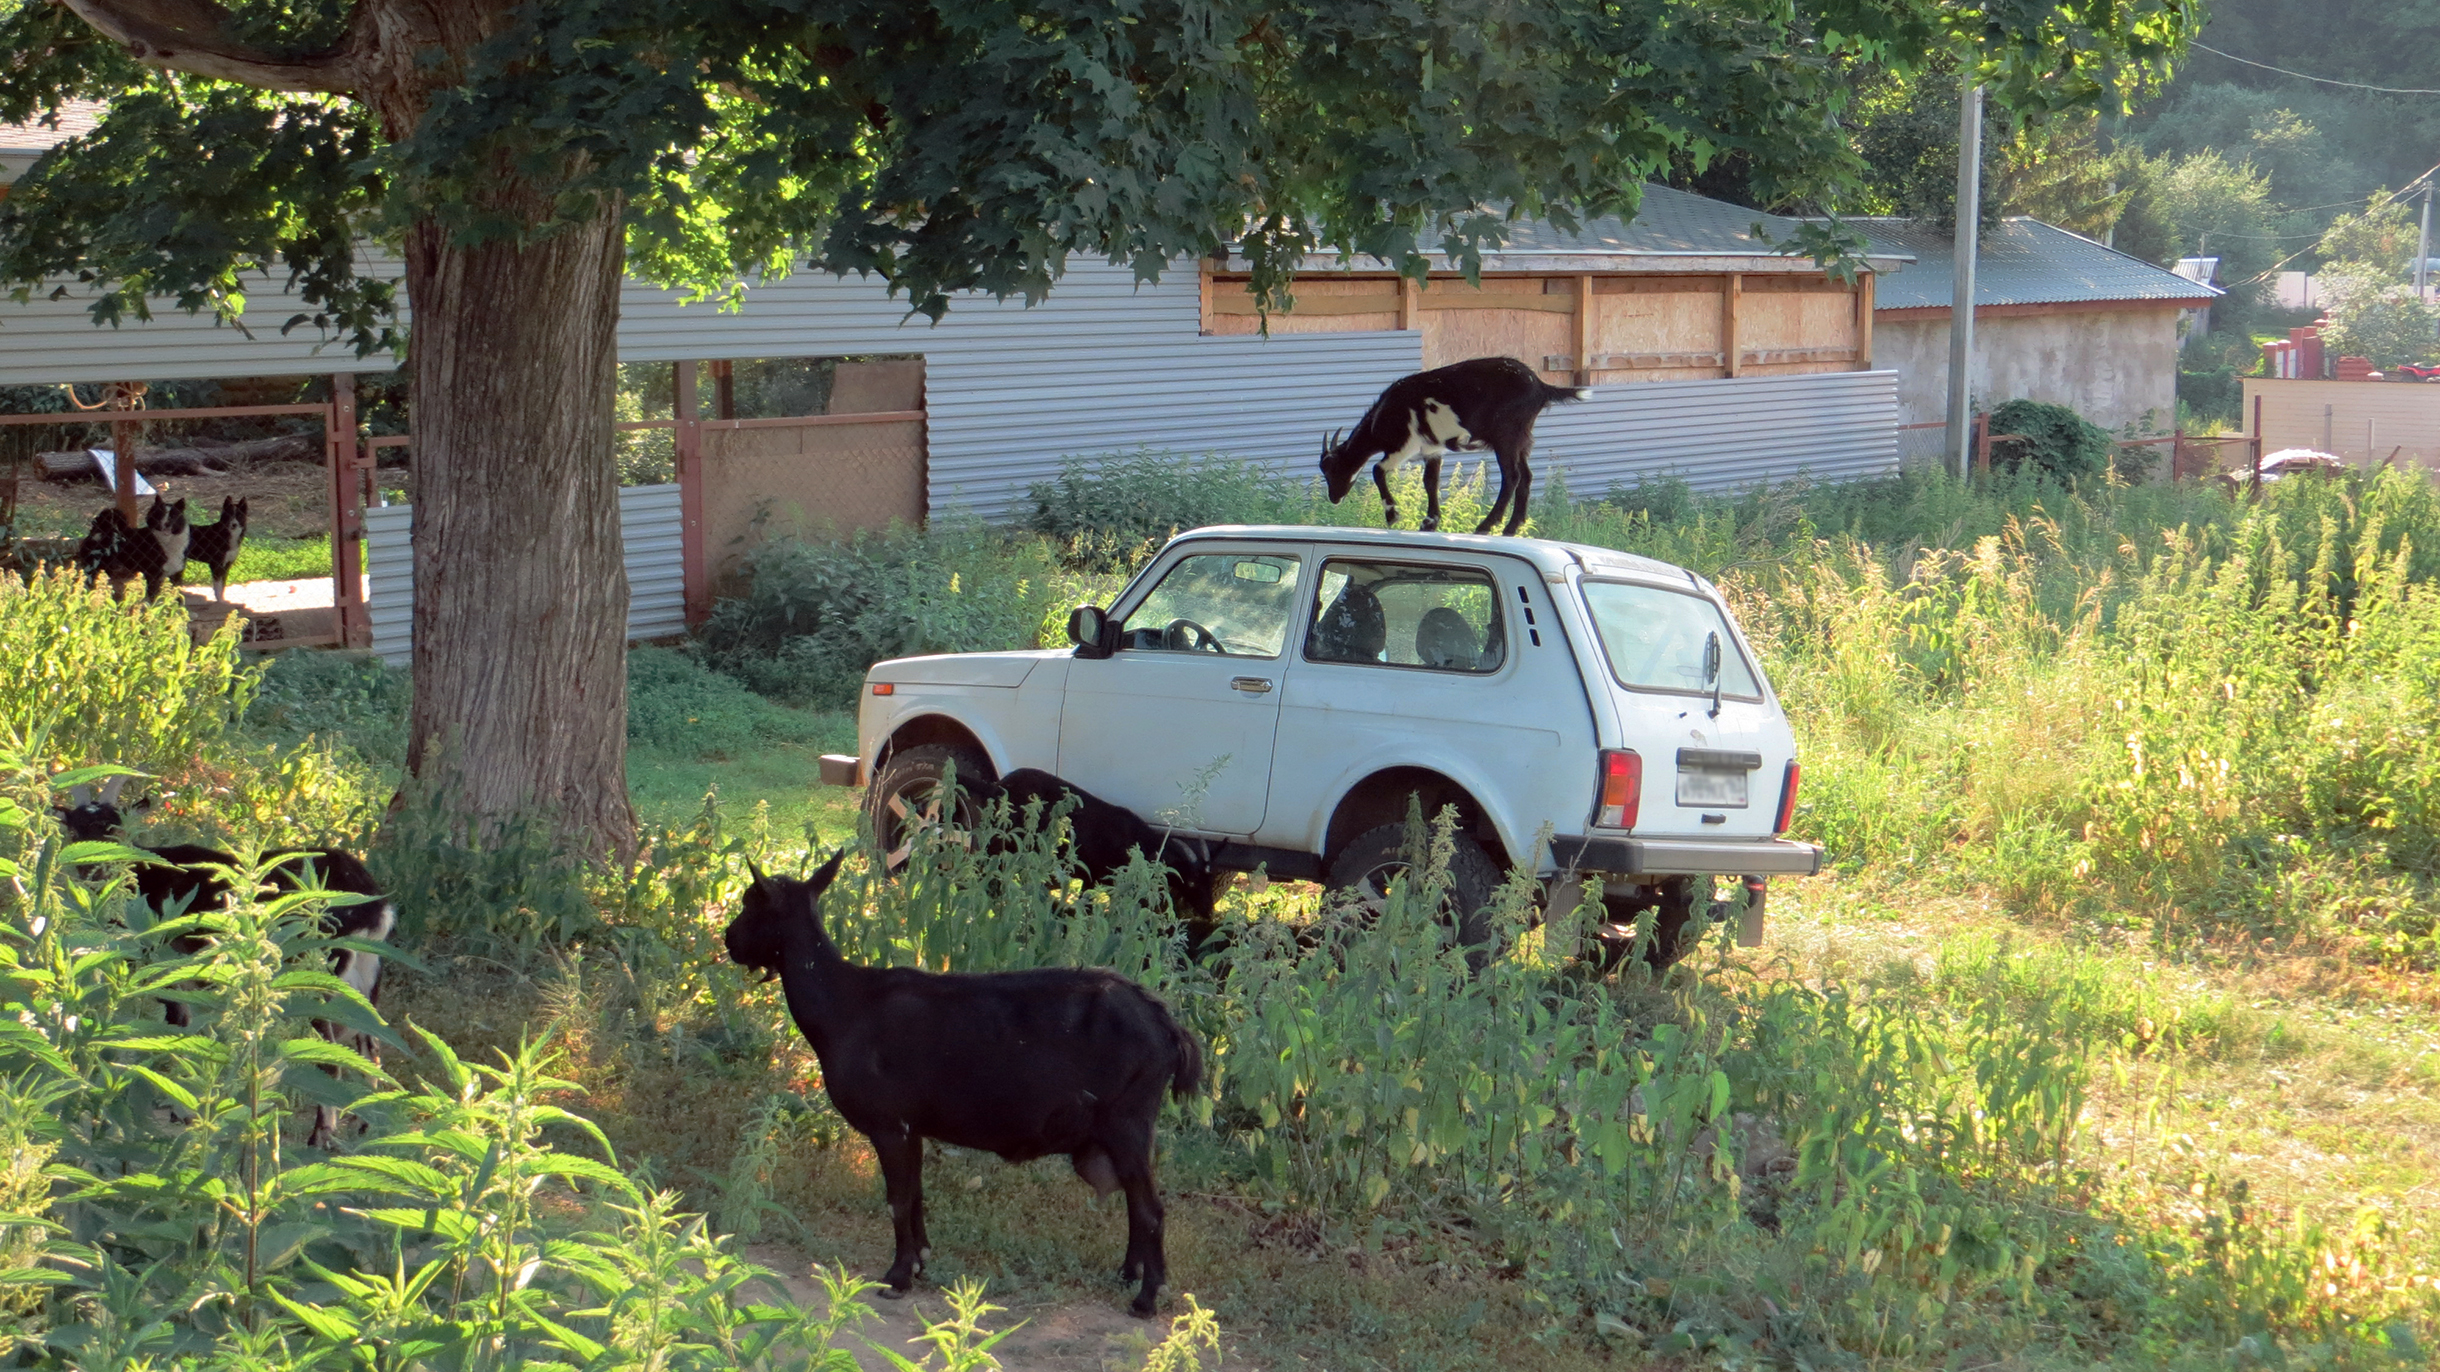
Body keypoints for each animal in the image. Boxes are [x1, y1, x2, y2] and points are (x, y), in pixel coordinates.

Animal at [53, 776, 400, 1147]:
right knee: (371, 1044)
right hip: (367, 972)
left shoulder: (168, 964)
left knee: (331, 1054)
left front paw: (184, 1110)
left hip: (318, 969)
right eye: (73, 829)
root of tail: (369, 898)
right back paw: (367, 1126)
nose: (92, 865)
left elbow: (176, 1026)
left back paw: (321, 1138)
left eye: (113, 826)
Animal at [727, 849, 1205, 1308]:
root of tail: (1169, 1028)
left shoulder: (889, 1123)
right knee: (1136, 1202)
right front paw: (920, 1261)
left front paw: (897, 1278)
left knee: (1150, 1209)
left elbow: (897, 1200)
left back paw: (1147, 1298)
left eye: (753, 902)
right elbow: (916, 1194)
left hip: (1127, 1119)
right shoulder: (914, 1126)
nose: (730, 940)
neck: (845, 1006)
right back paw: (1128, 1274)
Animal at [980, 771, 1229, 952]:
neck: (1137, 841)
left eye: (1209, 880)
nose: (1209, 912)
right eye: (1192, 882)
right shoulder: (1093, 876)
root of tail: (1001, 783)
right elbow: (1087, 910)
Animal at [1327, 353, 1590, 537]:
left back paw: (1486, 525)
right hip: (1522, 439)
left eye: (1331, 469)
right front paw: (1430, 522)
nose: (1333, 498)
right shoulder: (1432, 449)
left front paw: (1393, 515)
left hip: (1505, 435)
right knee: (1526, 476)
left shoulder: (1405, 444)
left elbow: (1377, 470)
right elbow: (1430, 481)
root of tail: (1541, 387)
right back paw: (1510, 528)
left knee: (1512, 476)